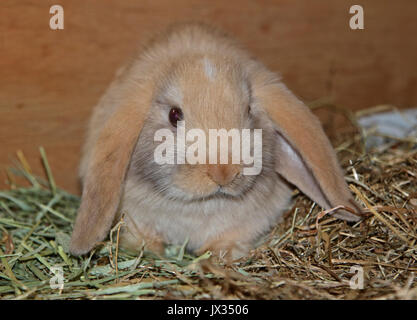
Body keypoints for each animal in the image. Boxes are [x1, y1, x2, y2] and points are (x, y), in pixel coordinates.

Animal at [68, 22, 360, 258]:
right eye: (174, 115)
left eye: (248, 111)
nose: (223, 172)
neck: (201, 206)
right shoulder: (133, 215)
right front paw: (147, 250)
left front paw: (220, 255)